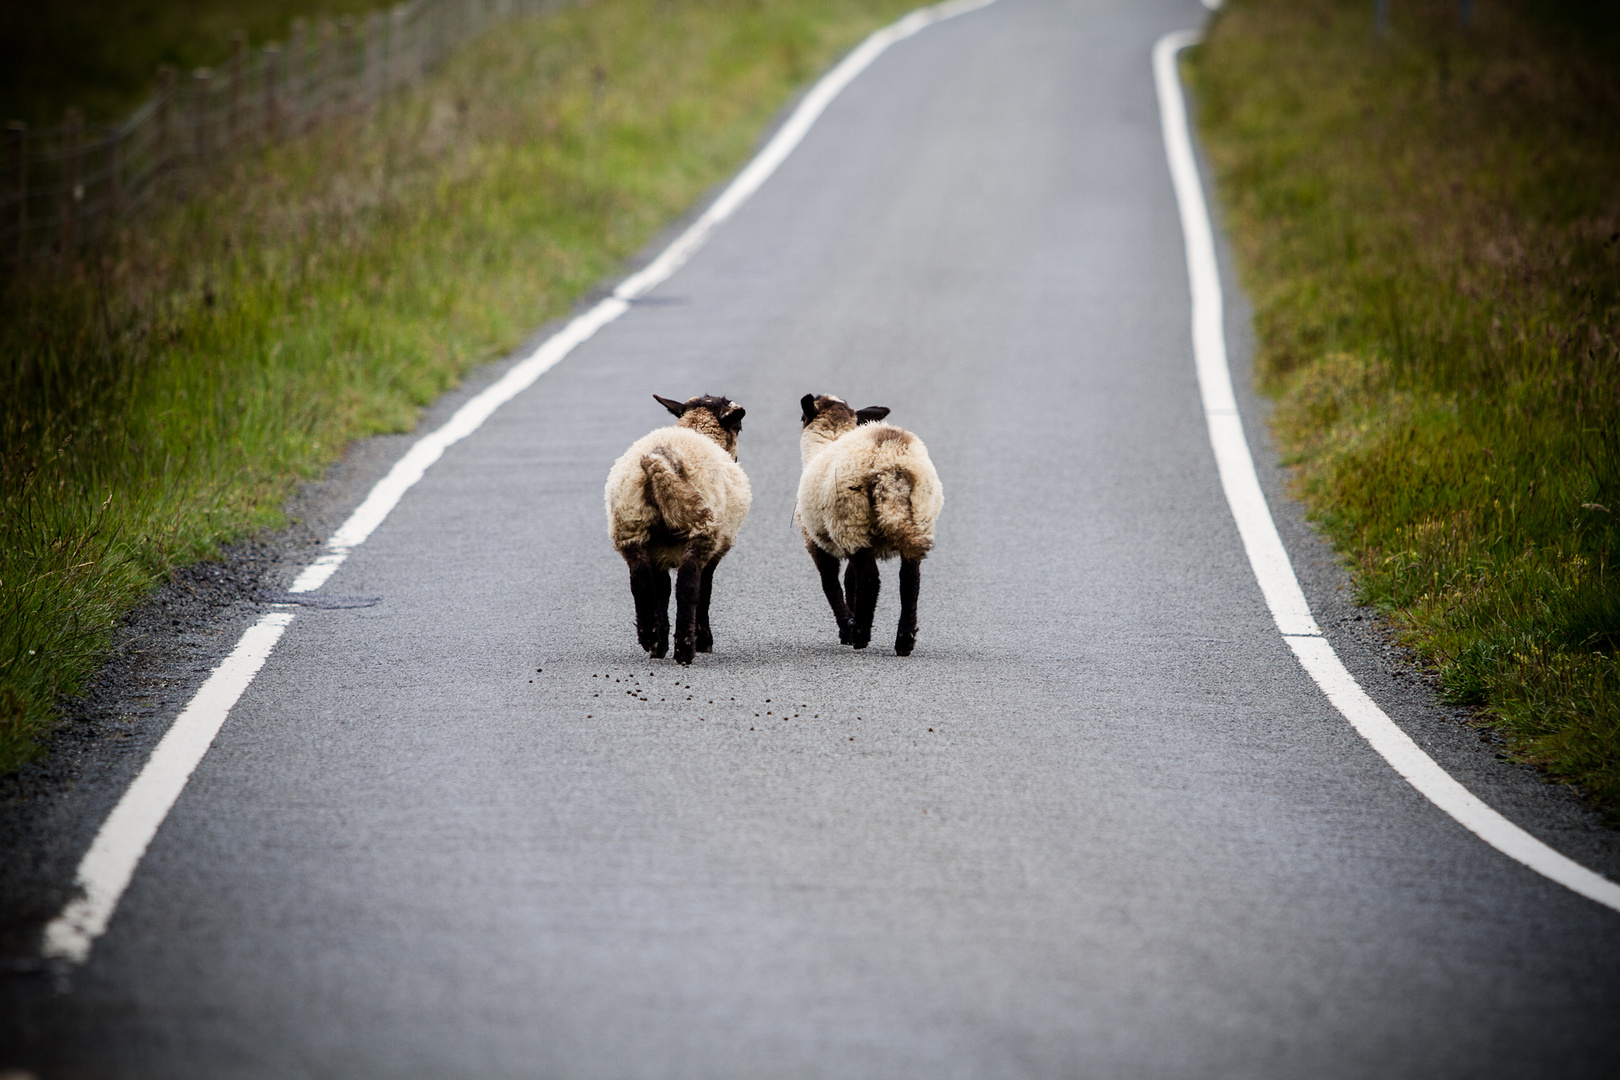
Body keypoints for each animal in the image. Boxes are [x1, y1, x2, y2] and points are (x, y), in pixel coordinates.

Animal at [609, 396, 751, 667]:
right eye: (738, 428)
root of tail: (662, 459)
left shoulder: (659, 554)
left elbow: (662, 590)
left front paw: (660, 641)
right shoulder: (713, 551)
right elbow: (704, 590)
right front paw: (703, 640)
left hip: (630, 526)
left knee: (640, 582)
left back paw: (650, 639)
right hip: (701, 530)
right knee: (688, 584)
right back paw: (685, 649)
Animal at [793, 393, 946, 654]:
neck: (831, 437)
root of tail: (891, 465)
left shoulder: (816, 540)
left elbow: (831, 583)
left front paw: (847, 627)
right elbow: (849, 579)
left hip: (852, 519)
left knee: (870, 580)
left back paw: (861, 635)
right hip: (918, 515)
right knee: (910, 579)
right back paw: (904, 640)